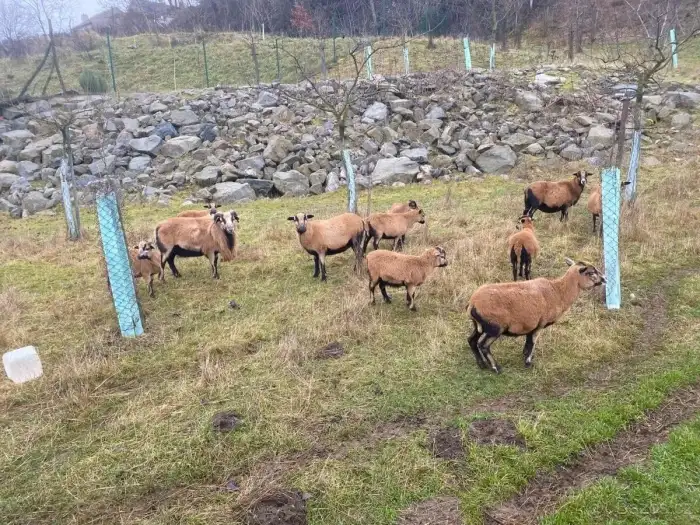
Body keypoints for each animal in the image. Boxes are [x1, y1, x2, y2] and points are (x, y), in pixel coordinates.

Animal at [465, 258, 605, 373]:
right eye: (591, 272)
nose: (604, 279)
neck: (558, 292)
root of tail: (472, 303)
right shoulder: (540, 324)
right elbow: (533, 342)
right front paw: (528, 362)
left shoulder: (531, 325)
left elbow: (528, 341)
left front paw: (525, 355)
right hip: (495, 327)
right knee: (483, 345)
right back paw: (496, 368)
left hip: (479, 326)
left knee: (471, 340)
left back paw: (481, 364)